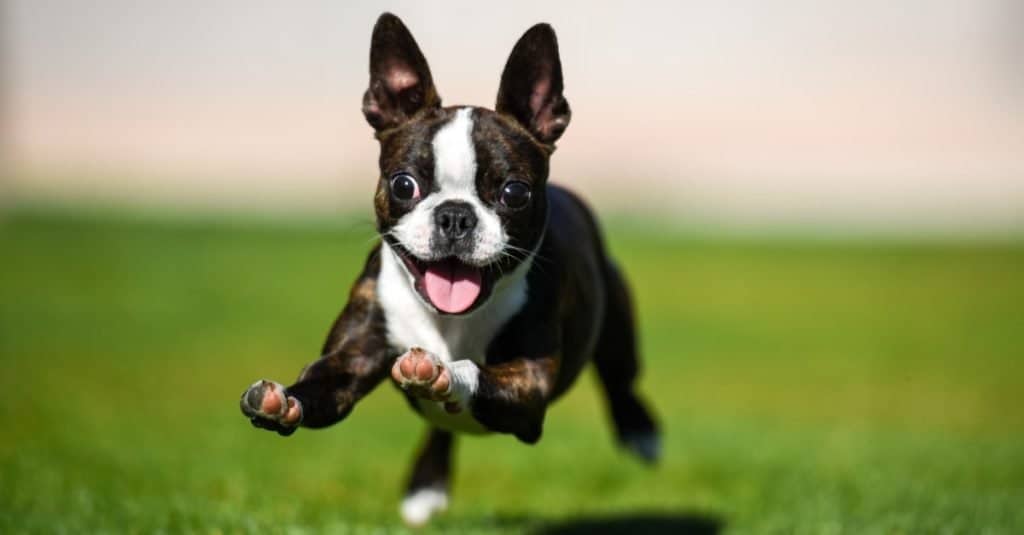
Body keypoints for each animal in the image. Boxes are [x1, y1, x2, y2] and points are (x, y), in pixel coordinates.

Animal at [237, 12, 655, 524]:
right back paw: (427, 486)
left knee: (622, 380)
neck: (448, 321)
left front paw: (441, 372)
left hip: (617, 326)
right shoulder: (353, 358)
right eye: (403, 184)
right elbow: (322, 383)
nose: (455, 215)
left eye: (514, 192)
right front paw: (282, 401)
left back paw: (641, 433)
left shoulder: (529, 385)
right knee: (442, 429)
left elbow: (471, 369)